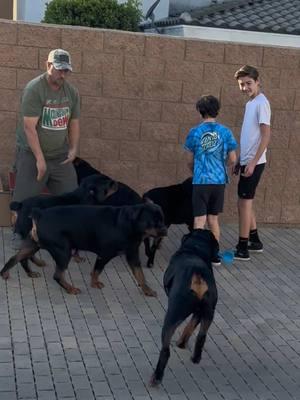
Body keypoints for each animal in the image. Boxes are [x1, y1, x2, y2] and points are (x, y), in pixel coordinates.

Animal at [28, 203, 168, 296]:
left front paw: (147, 290)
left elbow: (140, 275)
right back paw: (70, 288)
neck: (130, 225)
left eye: (163, 219)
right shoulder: (105, 254)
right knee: (58, 275)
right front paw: (94, 283)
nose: (165, 230)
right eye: (154, 221)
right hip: (63, 251)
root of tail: (40, 214)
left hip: (38, 245)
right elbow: (97, 270)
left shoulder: (133, 255)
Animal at [150, 230, 218, 386]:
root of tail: (197, 274)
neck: (195, 248)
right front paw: (181, 343)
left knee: (165, 350)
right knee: (201, 336)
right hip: (209, 311)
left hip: (173, 315)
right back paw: (195, 358)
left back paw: (156, 377)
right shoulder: (199, 312)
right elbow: (190, 327)